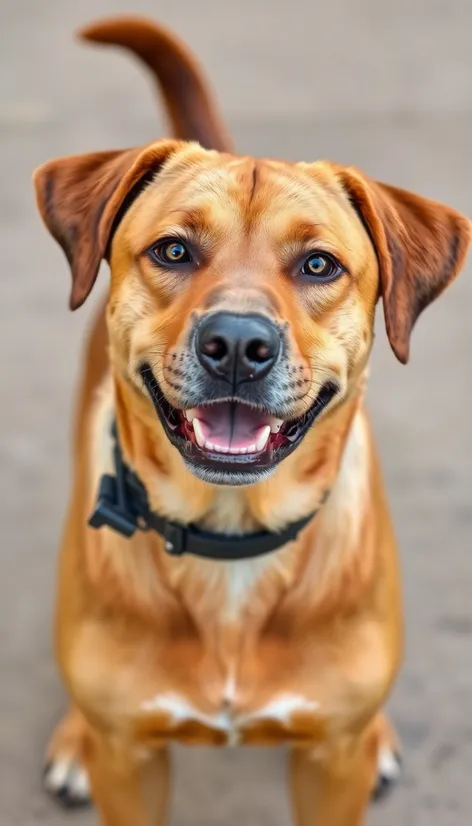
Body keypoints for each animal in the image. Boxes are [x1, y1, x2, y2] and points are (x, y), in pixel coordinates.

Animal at [34, 14, 472, 824]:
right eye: (174, 249)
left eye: (320, 265)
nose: (237, 343)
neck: (231, 541)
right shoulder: (131, 763)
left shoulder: (331, 764)